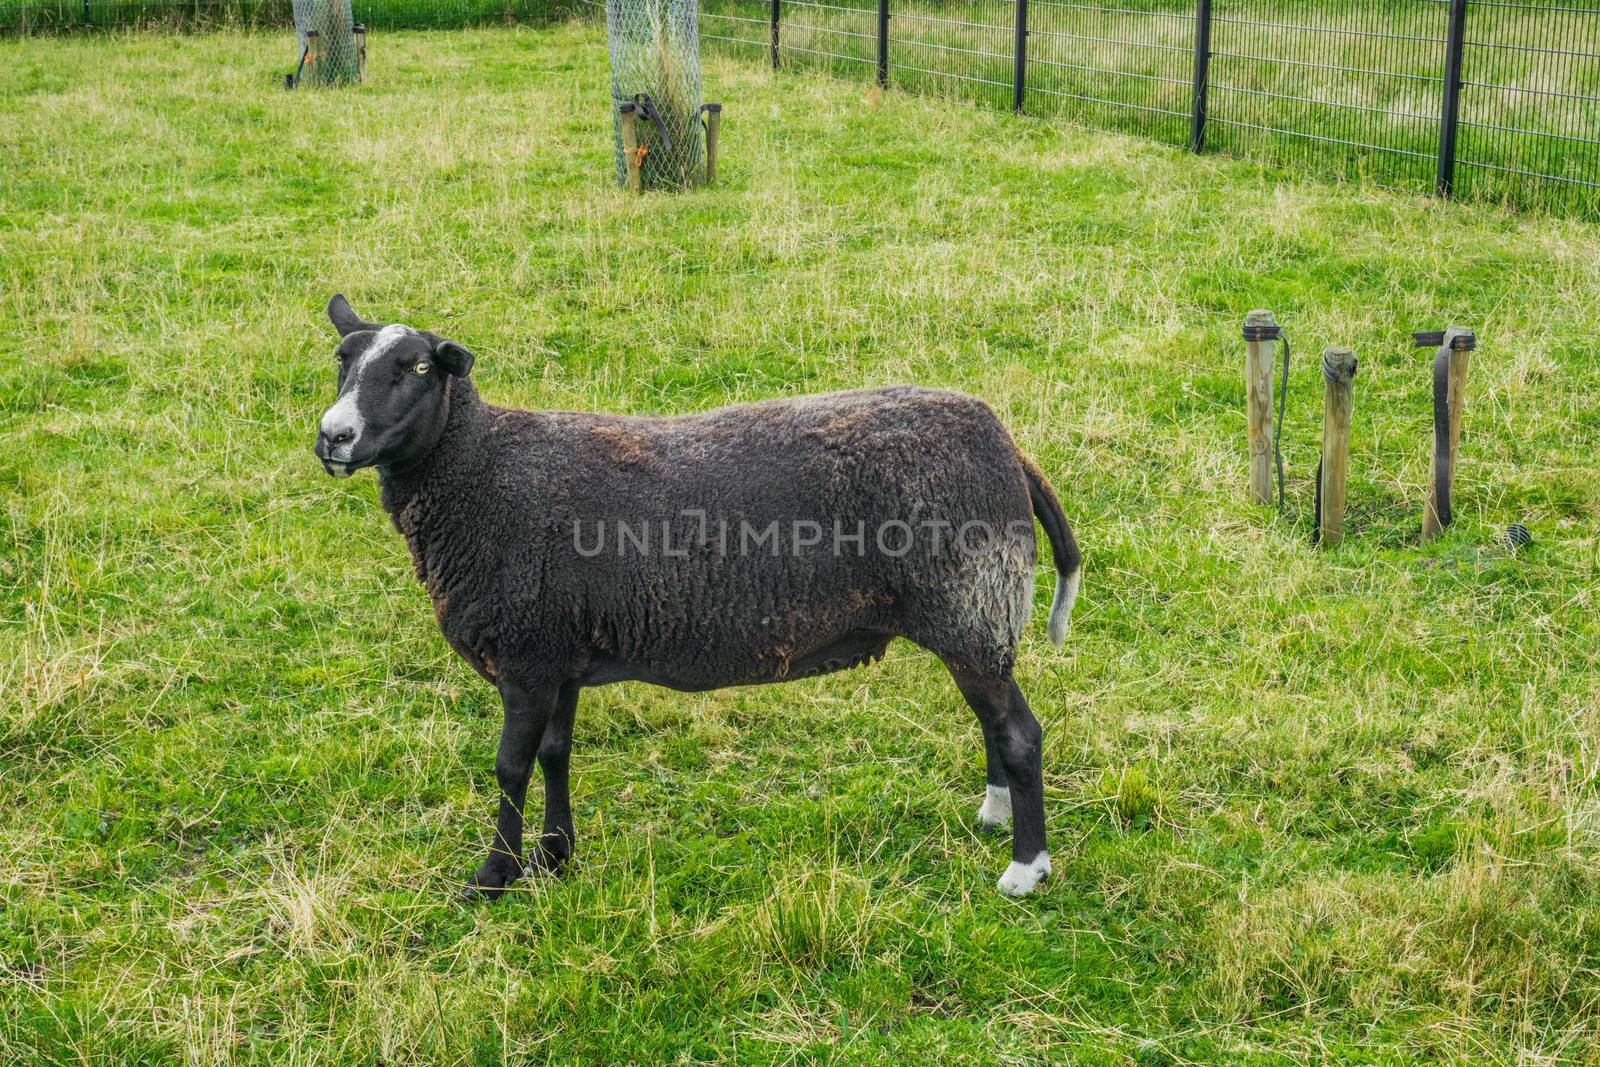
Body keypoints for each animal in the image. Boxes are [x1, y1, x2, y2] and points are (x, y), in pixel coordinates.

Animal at [312, 295, 1081, 895]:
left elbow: (510, 766)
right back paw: (994, 814)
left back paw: (1026, 867)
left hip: (969, 604)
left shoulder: (527, 654)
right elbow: (557, 755)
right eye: (342, 358)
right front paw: (556, 857)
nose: (333, 437)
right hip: (976, 618)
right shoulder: (560, 653)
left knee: (1019, 733)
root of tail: (1006, 444)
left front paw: (494, 876)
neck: (481, 470)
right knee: (996, 725)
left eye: (417, 367)